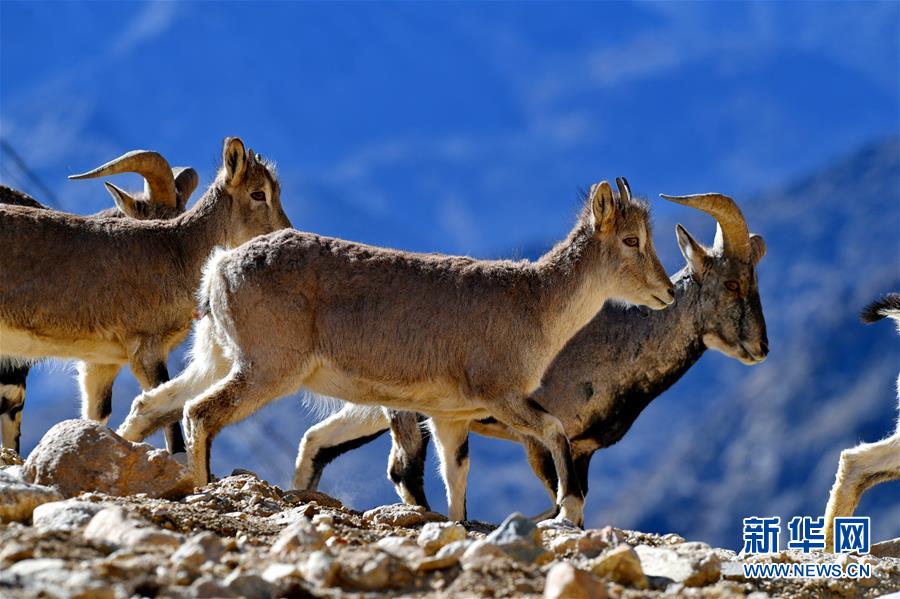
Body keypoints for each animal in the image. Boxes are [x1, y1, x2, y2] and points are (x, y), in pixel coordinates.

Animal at [119, 177, 676, 524]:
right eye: (631, 240)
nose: (667, 292)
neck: (534, 303)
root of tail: (219, 267)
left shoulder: (450, 416)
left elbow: (457, 479)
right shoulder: (498, 394)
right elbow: (556, 429)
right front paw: (570, 507)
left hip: (217, 356)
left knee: (157, 402)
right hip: (266, 368)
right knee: (201, 412)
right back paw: (202, 487)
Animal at [294, 192, 768, 516]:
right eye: (731, 283)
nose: (761, 347)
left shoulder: (584, 449)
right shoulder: (539, 441)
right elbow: (565, 498)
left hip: (373, 404)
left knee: (317, 441)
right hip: (404, 408)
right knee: (402, 468)